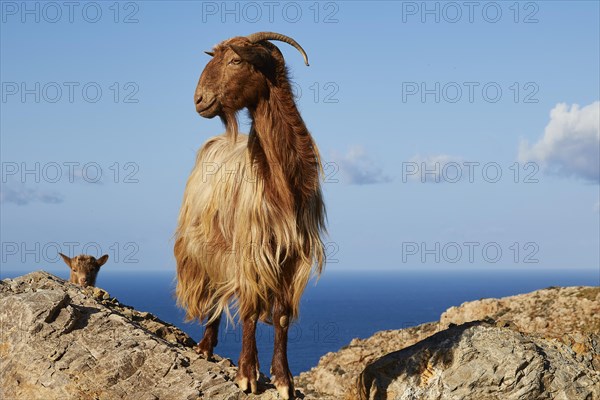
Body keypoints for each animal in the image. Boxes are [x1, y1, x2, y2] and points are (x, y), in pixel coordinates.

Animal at [173, 32, 326, 398]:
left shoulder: (291, 256)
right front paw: (246, 374)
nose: (199, 100)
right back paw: (205, 346)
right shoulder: (250, 250)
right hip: (204, 246)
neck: (282, 183)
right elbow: (250, 312)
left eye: (236, 60)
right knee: (215, 289)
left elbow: (281, 316)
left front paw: (283, 380)